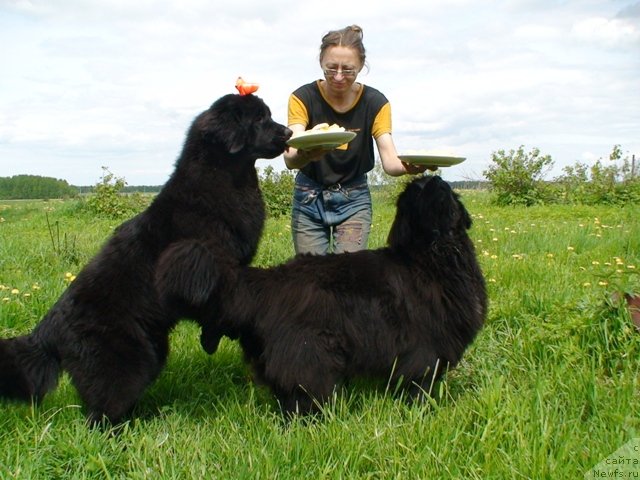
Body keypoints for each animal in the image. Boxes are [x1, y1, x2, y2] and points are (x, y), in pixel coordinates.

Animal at [0, 92, 292, 422]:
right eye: (259, 119)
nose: (288, 132)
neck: (223, 180)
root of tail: (48, 328)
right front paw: (212, 338)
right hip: (125, 359)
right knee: (102, 412)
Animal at [188, 175, 488, 416]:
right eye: (423, 191)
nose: (434, 176)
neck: (430, 255)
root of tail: (268, 281)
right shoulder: (423, 347)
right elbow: (419, 383)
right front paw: (422, 410)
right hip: (309, 354)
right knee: (302, 396)